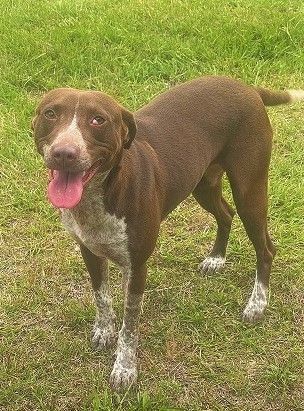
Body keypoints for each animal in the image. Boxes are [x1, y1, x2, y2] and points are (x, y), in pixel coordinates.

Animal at [32, 75, 302, 392]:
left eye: (98, 119)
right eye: (50, 113)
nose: (64, 153)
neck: (103, 192)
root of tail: (247, 87)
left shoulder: (137, 266)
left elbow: (130, 323)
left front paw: (125, 368)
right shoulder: (89, 250)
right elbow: (102, 297)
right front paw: (104, 330)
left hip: (249, 190)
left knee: (266, 247)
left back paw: (257, 303)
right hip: (203, 184)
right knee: (226, 214)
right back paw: (217, 258)